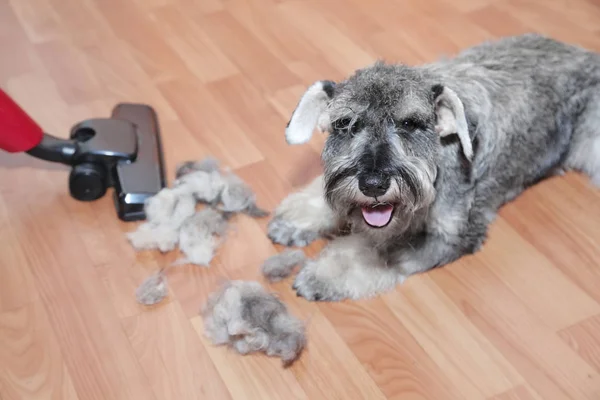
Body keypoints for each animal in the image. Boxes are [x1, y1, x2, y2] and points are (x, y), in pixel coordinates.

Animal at [266, 34, 600, 302]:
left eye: (410, 123)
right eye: (345, 124)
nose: (373, 184)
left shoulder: (450, 235)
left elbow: (376, 248)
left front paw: (324, 274)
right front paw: (297, 219)